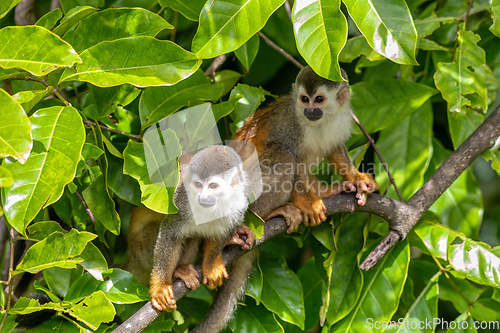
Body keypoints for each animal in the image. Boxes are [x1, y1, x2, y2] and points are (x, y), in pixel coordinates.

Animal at [125, 145, 254, 320]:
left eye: (213, 186)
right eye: (198, 184)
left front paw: (212, 265)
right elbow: (170, 233)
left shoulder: (240, 200)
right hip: (142, 249)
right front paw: (160, 288)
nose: (203, 197)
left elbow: (221, 232)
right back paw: (178, 272)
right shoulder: (181, 200)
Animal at [235, 64, 378, 231]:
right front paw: (308, 202)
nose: (309, 110)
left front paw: (356, 177)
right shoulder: (290, 125)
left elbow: (335, 148)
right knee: (282, 154)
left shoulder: (342, 118)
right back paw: (263, 215)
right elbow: (292, 157)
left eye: (319, 99)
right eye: (305, 99)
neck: (320, 122)